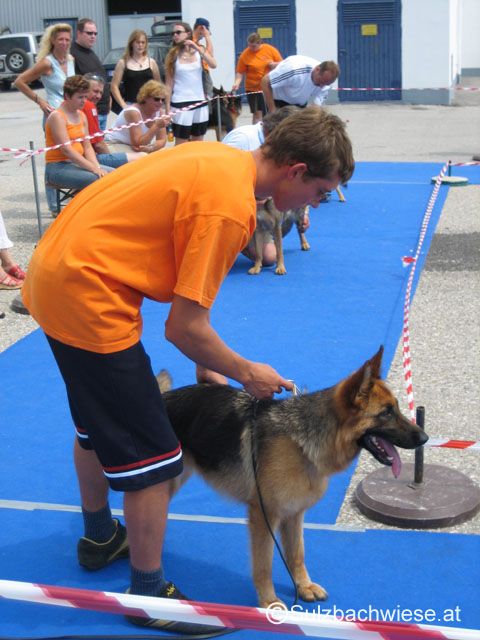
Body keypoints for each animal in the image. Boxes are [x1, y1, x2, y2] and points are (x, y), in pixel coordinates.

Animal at [158, 346, 428, 608]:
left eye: (397, 408)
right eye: (386, 413)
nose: (424, 438)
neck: (302, 445)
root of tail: (163, 398)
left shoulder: (294, 513)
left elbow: (297, 554)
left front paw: (303, 586)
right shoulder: (264, 516)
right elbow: (264, 564)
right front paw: (268, 601)